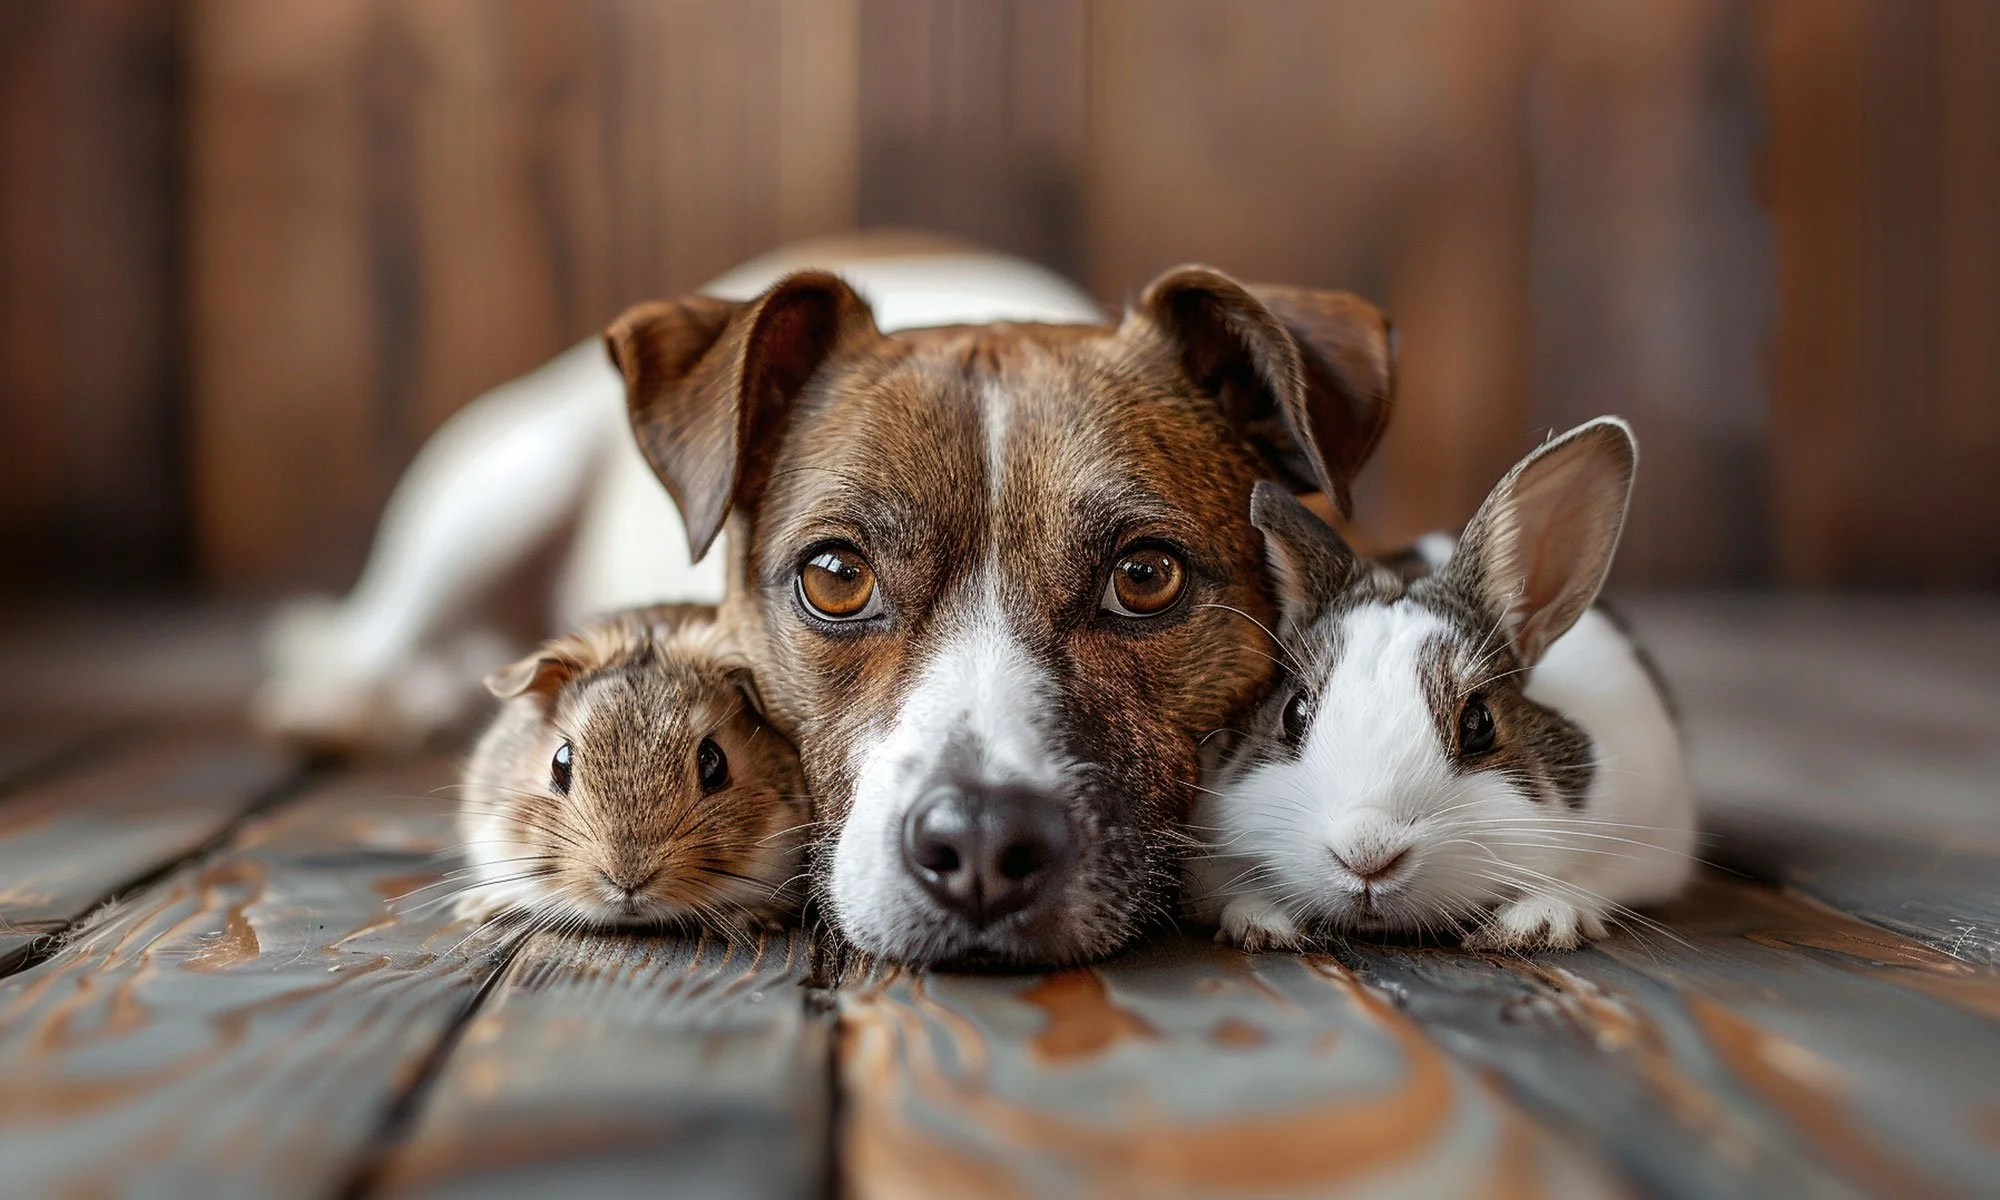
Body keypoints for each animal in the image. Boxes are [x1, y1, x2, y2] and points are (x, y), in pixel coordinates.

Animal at [1187, 417, 1696, 952]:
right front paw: (1262, 921)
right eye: (1294, 713)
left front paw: (1536, 923)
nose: (1367, 852)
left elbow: (1582, 880)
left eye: (1479, 725)